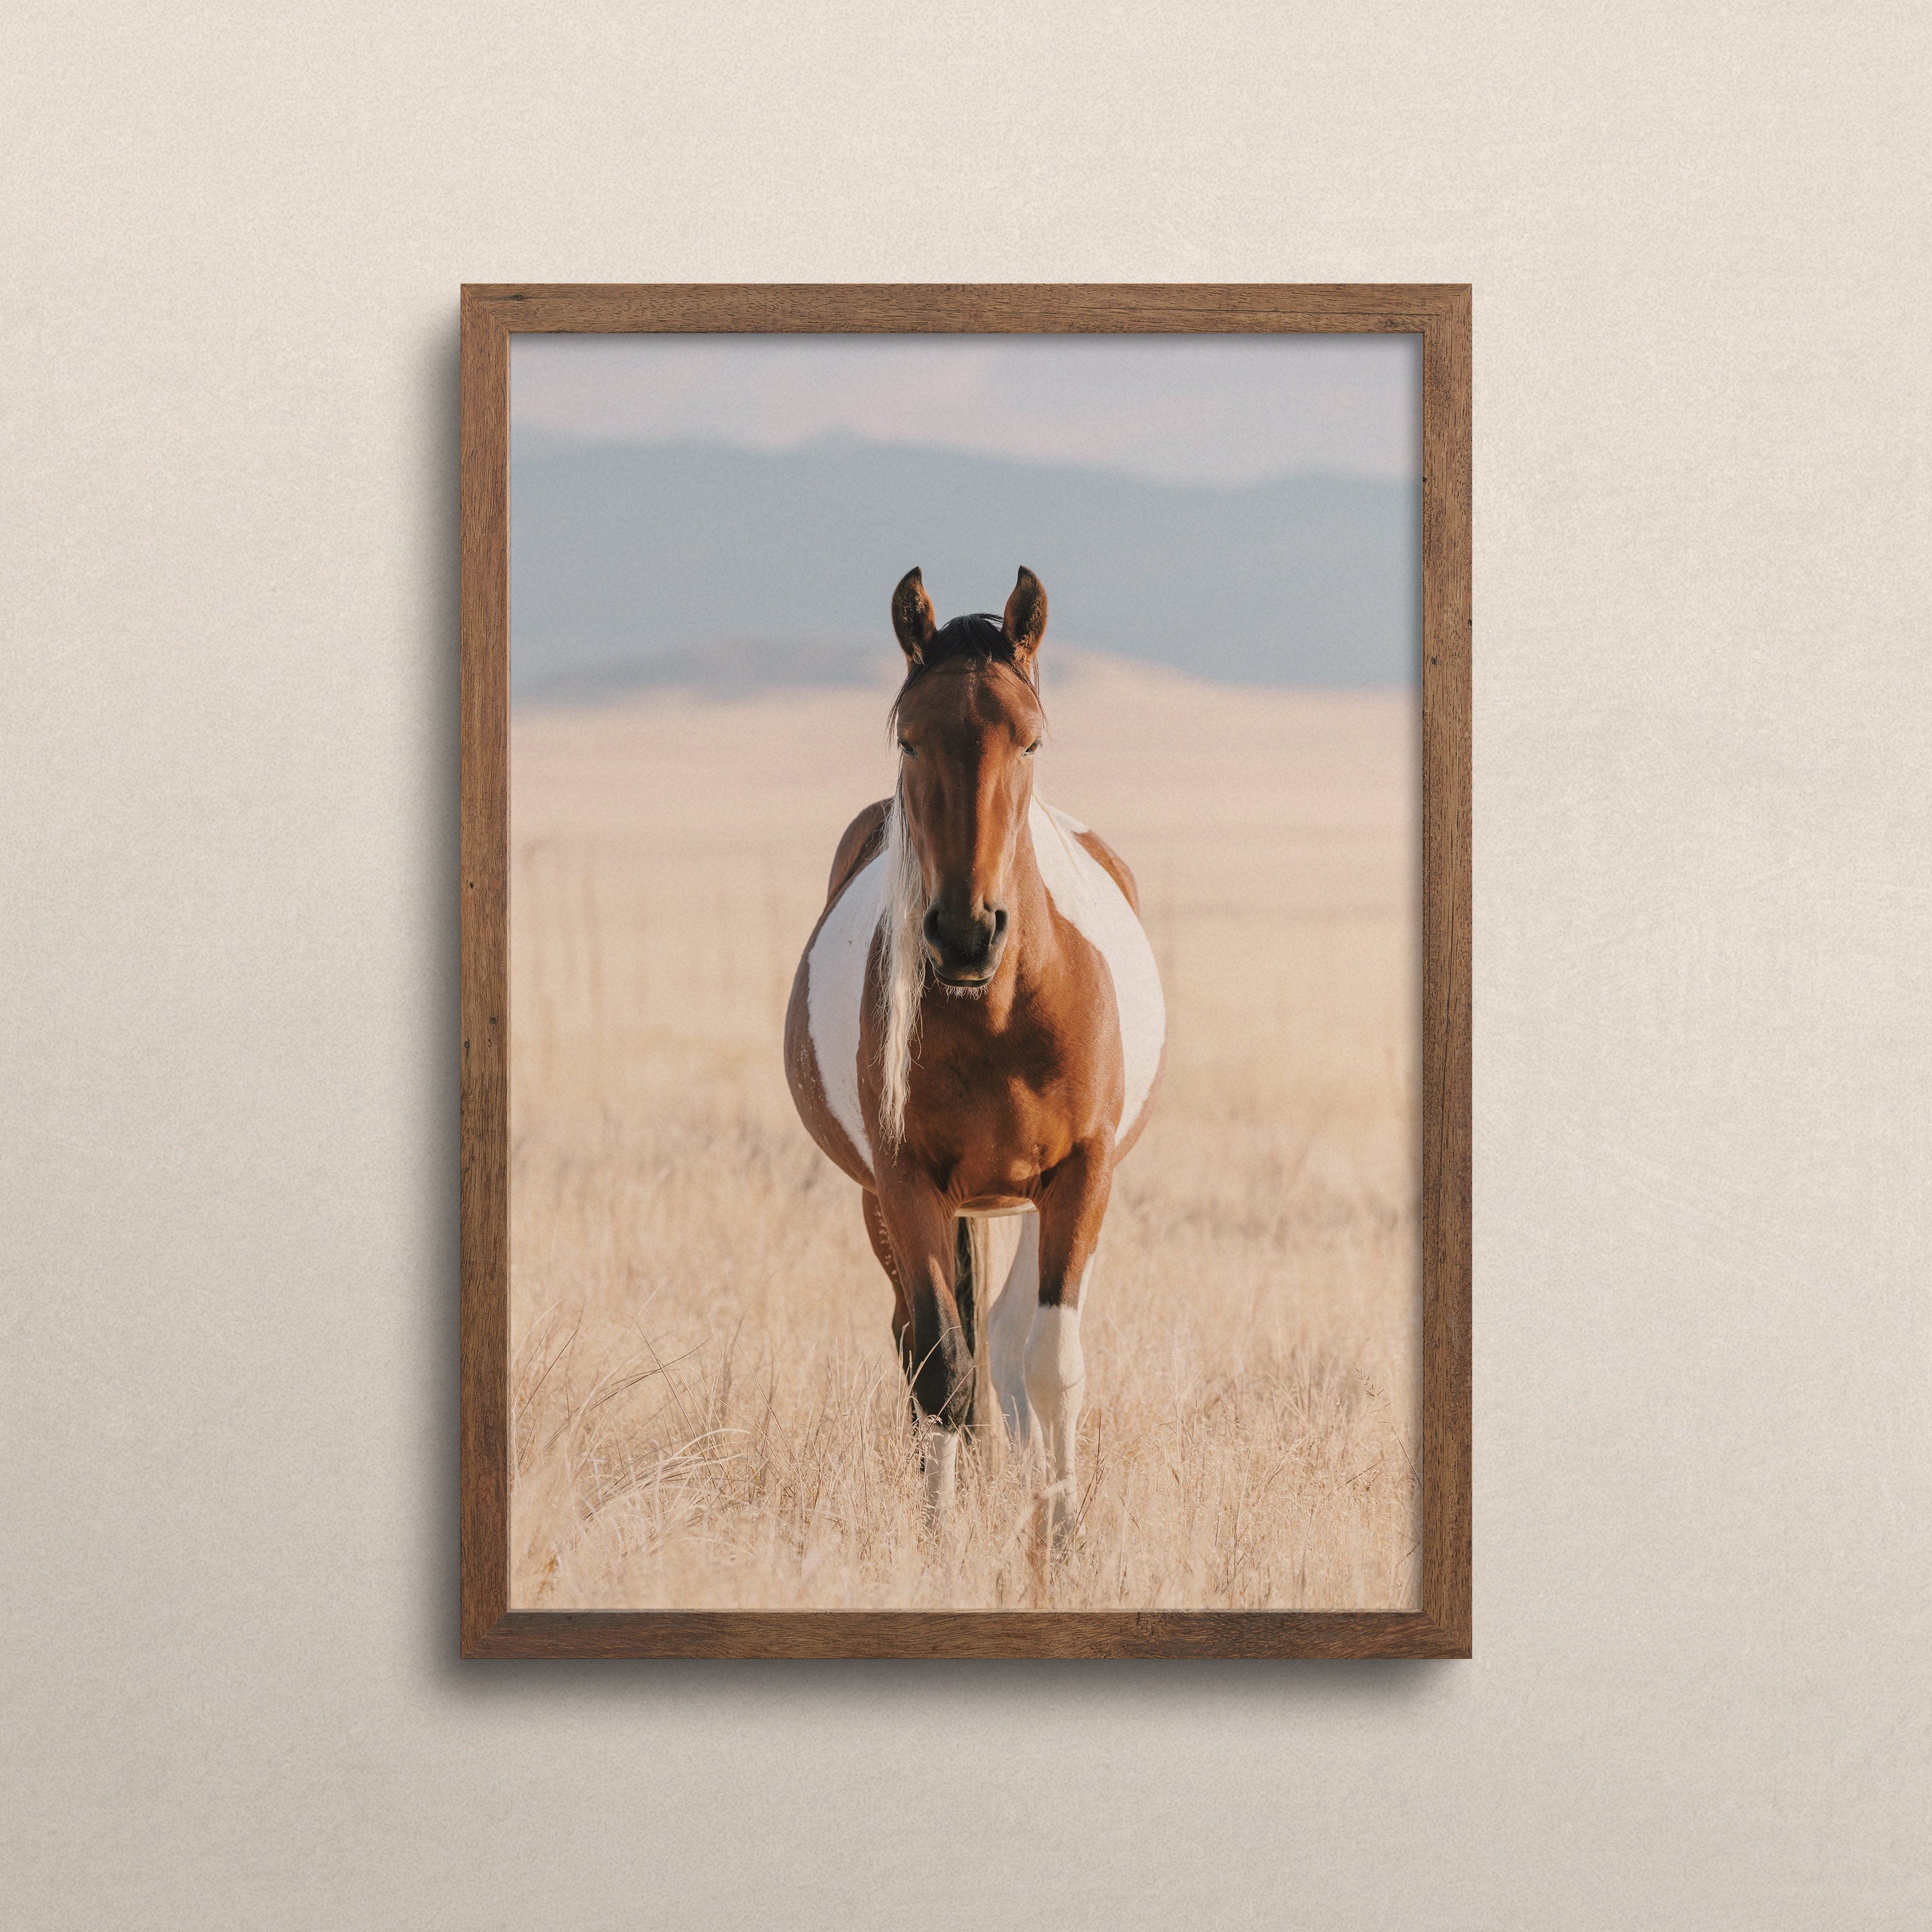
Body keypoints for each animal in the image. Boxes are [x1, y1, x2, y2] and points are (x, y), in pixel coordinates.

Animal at [783, 566, 1165, 1538]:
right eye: (909, 737)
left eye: (1030, 740)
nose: (964, 934)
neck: (998, 1014)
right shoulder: (905, 1180)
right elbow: (941, 1370)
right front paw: (941, 1539)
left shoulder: (1081, 1176)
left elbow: (1049, 1366)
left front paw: (1061, 1538)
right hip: (888, 1200)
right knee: (929, 1344)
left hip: (1028, 1201)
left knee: (1007, 1338)